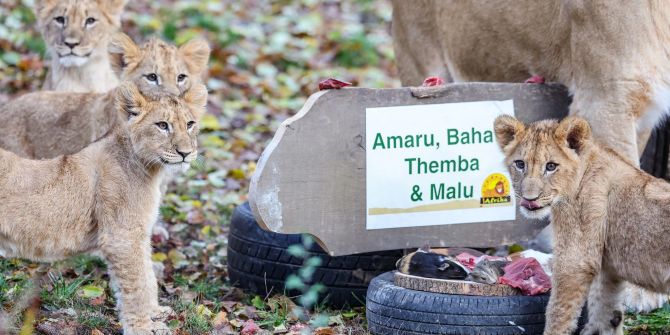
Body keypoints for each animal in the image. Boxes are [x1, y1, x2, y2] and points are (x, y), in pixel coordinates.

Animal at [0, 82, 207, 335]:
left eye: (190, 124)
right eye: (162, 125)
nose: (186, 153)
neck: (150, 170)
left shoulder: (138, 234)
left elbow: (147, 276)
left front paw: (156, 313)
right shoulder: (122, 236)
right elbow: (137, 285)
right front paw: (143, 328)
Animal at [494, 115, 670, 335]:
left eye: (551, 166)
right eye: (520, 164)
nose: (529, 199)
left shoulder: (575, 263)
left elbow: (558, 312)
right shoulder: (608, 269)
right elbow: (605, 312)